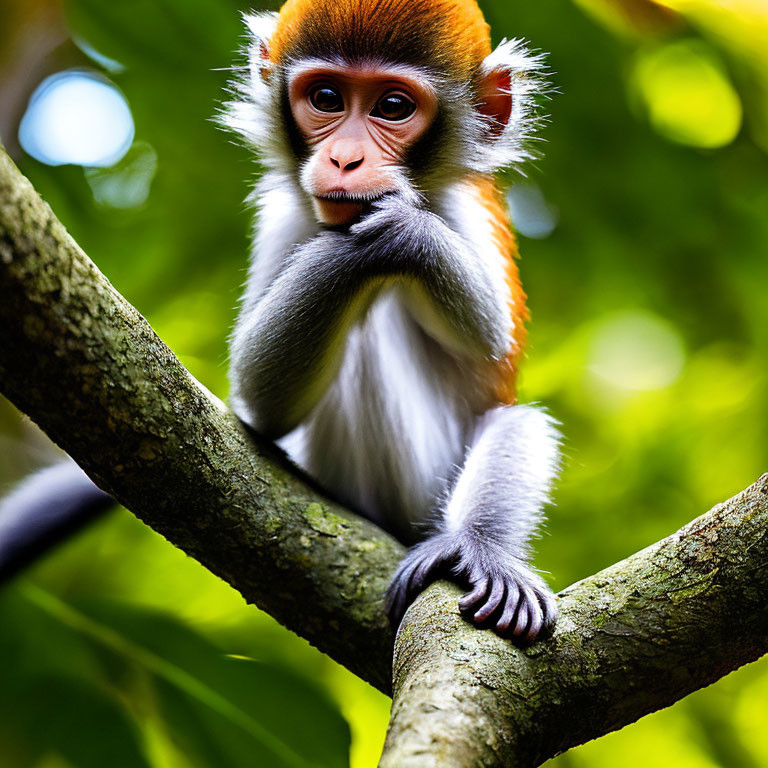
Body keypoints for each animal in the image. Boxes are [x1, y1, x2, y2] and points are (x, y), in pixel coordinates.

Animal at [1, 0, 564, 644]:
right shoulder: (284, 212)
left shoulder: (463, 210)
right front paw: (379, 237)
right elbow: (263, 403)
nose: (345, 159)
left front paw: (404, 231)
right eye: (326, 97)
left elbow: (492, 345)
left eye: (393, 107)